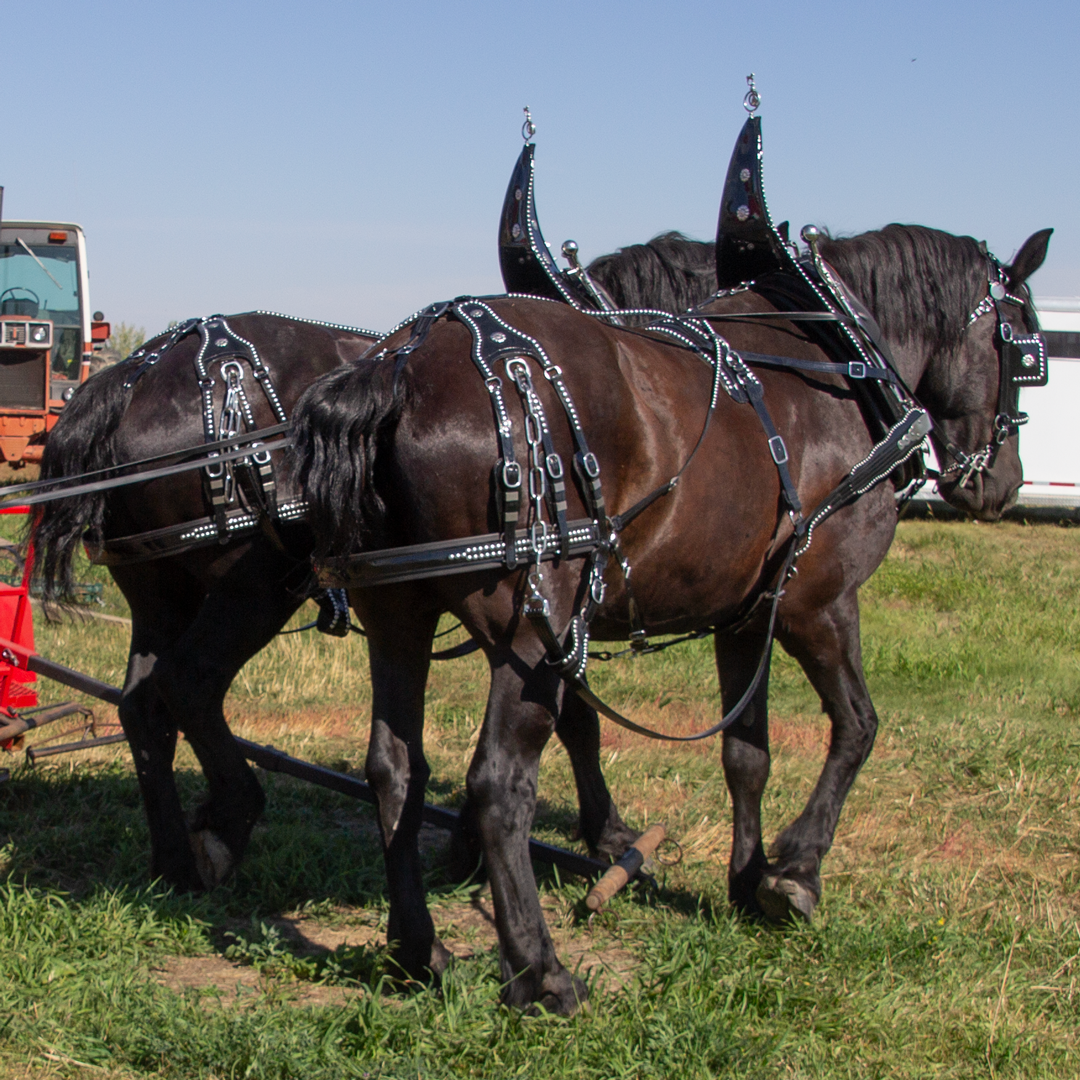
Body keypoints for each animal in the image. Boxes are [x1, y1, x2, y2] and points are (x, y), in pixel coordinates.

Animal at [291, 223, 1049, 1015]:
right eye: (1027, 351)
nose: (1003, 484)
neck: (833, 355)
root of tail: (402, 363)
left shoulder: (744, 617)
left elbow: (746, 755)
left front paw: (745, 881)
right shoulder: (818, 601)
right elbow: (857, 726)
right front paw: (796, 871)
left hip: (399, 618)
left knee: (395, 771)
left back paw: (419, 952)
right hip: (530, 628)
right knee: (499, 784)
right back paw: (541, 972)